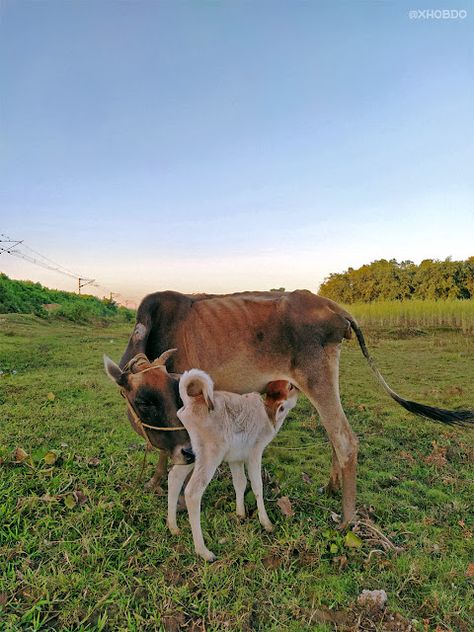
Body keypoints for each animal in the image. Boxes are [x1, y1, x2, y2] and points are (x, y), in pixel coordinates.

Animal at [104, 288, 474, 524]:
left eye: (171, 395)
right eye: (143, 401)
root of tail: (333, 307)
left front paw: (176, 496)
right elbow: (166, 450)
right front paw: (155, 482)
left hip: (316, 376)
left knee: (345, 440)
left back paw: (347, 520)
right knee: (333, 436)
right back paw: (330, 487)